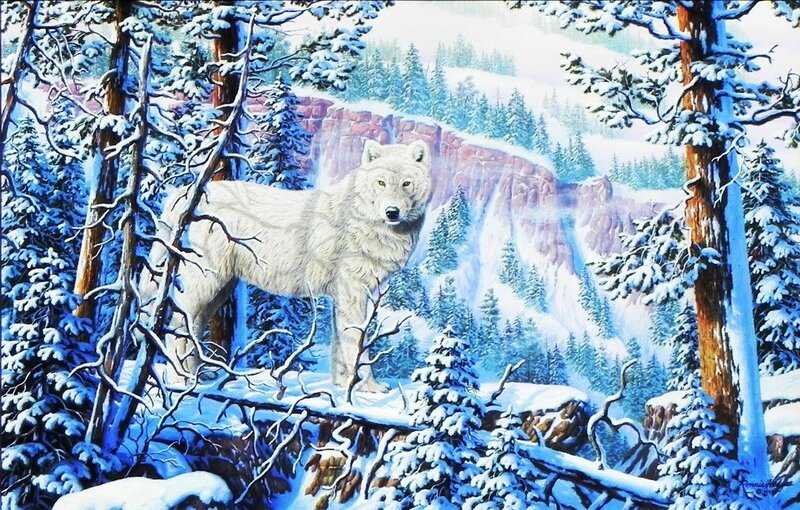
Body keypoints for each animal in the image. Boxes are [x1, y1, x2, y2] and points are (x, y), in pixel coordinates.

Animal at [151, 140, 432, 391]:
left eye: (406, 183)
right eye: (381, 183)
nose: (392, 212)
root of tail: (186, 193)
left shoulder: (342, 295)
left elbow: (340, 342)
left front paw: (342, 385)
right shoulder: (353, 290)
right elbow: (356, 340)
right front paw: (367, 387)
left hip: (220, 289)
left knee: (194, 325)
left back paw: (200, 375)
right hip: (206, 282)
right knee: (177, 323)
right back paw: (181, 380)